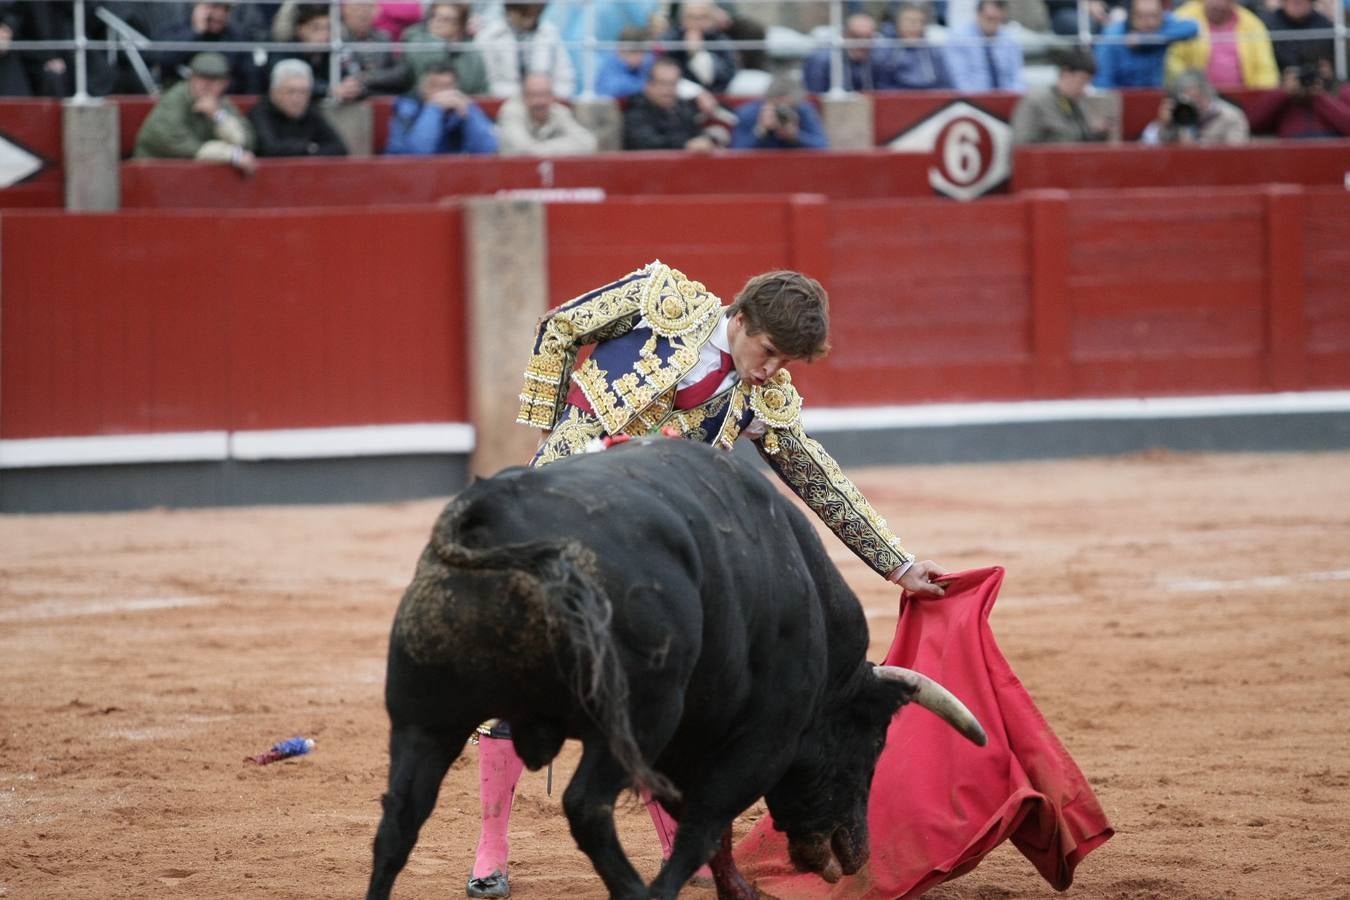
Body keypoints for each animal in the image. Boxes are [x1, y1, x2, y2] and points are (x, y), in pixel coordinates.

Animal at [367, 437, 982, 900]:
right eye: (873, 744)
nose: (856, 856)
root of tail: (489, 519)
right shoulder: (759, 740)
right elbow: (705, 826)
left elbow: (707, 831)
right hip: (635, 718)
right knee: (587, 806)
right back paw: (636, 891)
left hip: (424, 719)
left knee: (399, 820)